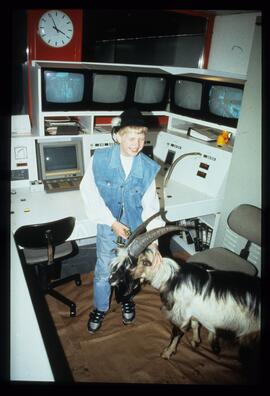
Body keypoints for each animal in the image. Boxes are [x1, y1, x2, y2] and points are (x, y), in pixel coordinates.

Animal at [108, 226, 260, 358]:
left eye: (129, 265)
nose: (110, 280)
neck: (171, 278)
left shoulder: (180, 314)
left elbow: (176, 332)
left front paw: (167, 353)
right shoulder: (194, 311)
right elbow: (195, 324)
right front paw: (195, 341)